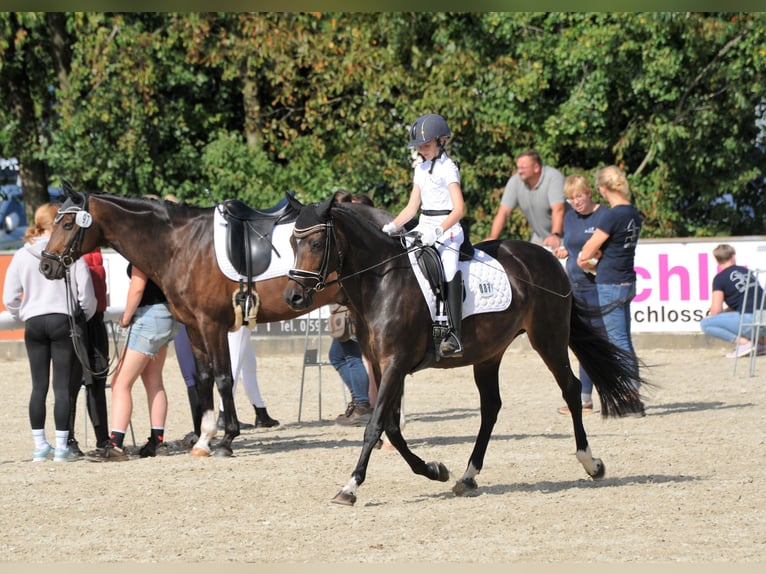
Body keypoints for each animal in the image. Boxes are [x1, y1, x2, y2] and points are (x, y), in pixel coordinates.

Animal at [38, 186, 340, 457]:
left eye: (67, 223)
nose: (46, 266)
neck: (182, 244)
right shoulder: (194, 326)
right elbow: (204, 377)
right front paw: (204, 439)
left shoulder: (212, 325)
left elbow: (223, 378)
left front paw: (227, 440)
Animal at [283, 195, 646, 505]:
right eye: (291, 243)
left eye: (316, 243)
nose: (293, 297)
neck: (381, 280)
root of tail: (548, 256)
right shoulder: (381, 365)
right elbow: (392, 428)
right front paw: (434, 470)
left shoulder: (395, 364)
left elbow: (375, 427)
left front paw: (350, 487)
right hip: (489, 354)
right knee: (491, 408)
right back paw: (467, 477)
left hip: (548, 338)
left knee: (570, 389)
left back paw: (591, 463)